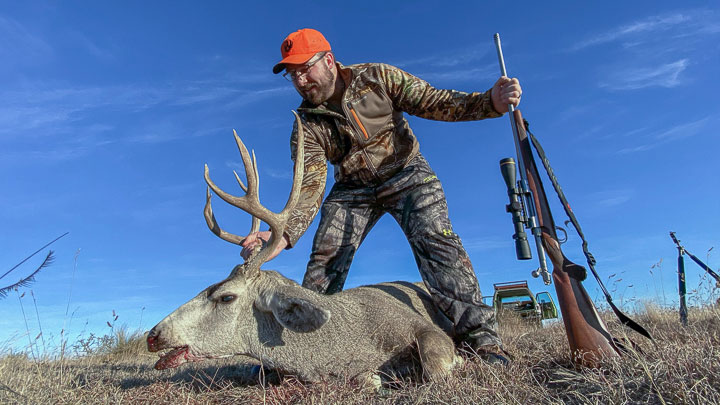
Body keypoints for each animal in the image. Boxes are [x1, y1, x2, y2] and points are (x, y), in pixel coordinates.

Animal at [146, 111, 462, 388]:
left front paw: (456, 360)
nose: (153, 335)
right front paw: (373, 377)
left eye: (226, 297)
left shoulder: (418, 325)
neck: (348, 340)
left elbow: (434, 366)